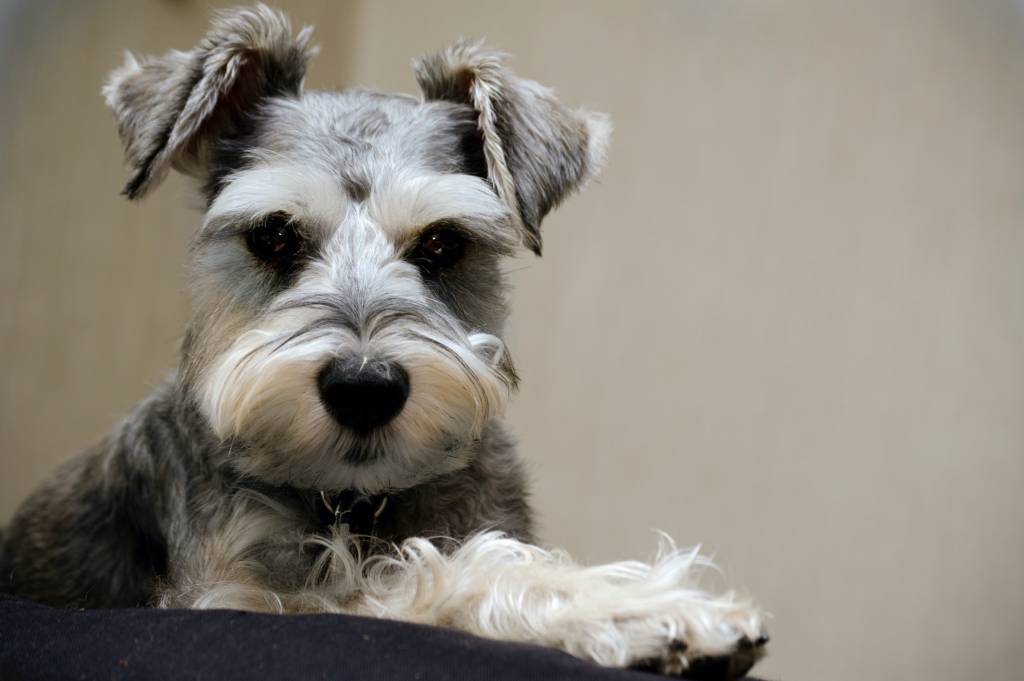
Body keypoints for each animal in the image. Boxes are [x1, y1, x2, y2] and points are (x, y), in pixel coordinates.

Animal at [0, 6, 767, 679]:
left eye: (444, 242)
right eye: (273, 233)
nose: (364, 388)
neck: (353, 501)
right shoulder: (238, 596)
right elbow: (421, 581)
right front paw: (641, 608)